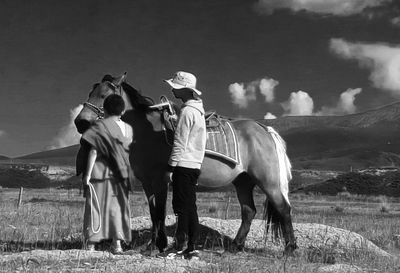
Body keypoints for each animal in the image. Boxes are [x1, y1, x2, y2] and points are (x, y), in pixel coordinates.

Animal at [74, 71, 296, 253]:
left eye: (105, 96)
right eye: (90, 92)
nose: (80, 122)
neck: (145, 131)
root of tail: (264, 129)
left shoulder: (161, 180)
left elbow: (160, 212)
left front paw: (159, 245)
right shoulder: (147, 182)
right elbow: (153, 212)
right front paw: (152, 244)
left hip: (268, 181)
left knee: (283, 208)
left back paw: (290, 248)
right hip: (243, 181)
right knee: (249, 211)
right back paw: (236, 245)